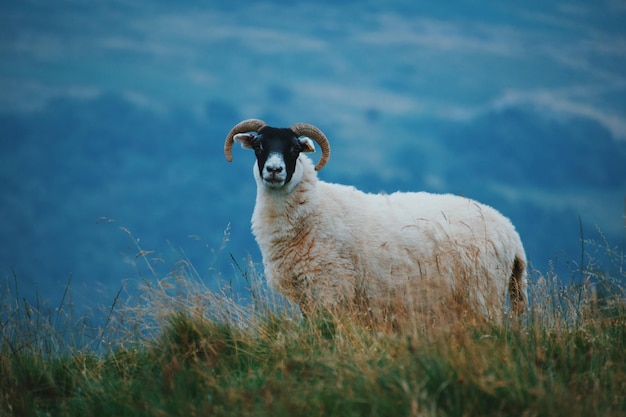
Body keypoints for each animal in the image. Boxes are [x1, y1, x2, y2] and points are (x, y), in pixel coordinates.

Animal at [224, 118, 528, 324]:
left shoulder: (331, 287)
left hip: (484, 293)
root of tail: (512, 235)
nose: (274, 170)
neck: (315, 208)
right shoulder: (308, 294)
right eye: (259, 145)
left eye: (294, 148)